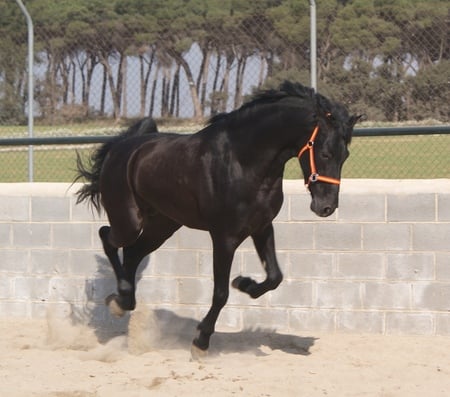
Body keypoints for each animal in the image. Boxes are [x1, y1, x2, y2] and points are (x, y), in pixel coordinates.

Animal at [75, 82, 360, 354]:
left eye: (345, 155)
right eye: (325, 153)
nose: (326, 207)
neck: (243, 160)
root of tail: (120, 148)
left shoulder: (261, 227)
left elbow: (274, 277)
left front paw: (244, 283)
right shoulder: (225, 237)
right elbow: (221, 293)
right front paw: (200, 342)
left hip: (163, 226)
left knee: (133, 253)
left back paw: (123, 302)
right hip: (130, 221)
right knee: (108, 238)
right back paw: (120, 299)